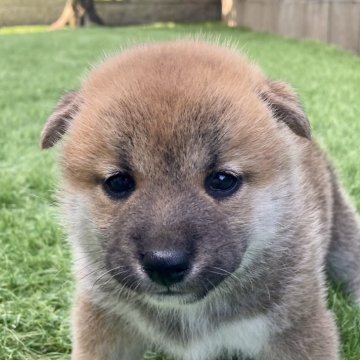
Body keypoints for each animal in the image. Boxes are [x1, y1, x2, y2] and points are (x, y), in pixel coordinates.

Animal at [40, 40, 360, 358]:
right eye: (118, 182)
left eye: (222, 180)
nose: (164, 264)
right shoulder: (106, 319)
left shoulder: (297, 328)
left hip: (343, 234)